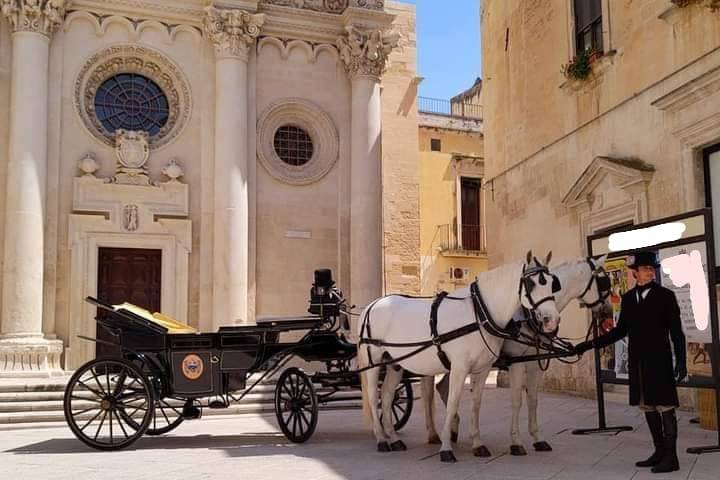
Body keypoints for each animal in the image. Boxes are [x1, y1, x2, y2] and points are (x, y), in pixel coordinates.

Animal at [358, 251, 560, 462]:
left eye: (552, 283)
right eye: (531, 283)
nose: (551, 320)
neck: (479, 312)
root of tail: (371, 305)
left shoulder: (483, 369)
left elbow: (476, 404)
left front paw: (477, 444)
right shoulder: (459, 368)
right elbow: (453, 403)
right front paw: (446, 448)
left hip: (394, 364)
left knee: (387, 396)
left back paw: (395, 439)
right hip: (373, 362)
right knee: (373, 396)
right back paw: (381, 439)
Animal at [424, 255, 612, 458]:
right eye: (603, 281)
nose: (608, 311)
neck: (529, 317)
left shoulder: (536, 365)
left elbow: (533, 401)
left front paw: (538, 438)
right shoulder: (517, 364)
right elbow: (516, 401)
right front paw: (516, 442)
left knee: (442, 388)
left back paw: (452, 429)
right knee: (429, 394)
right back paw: (435, 433)